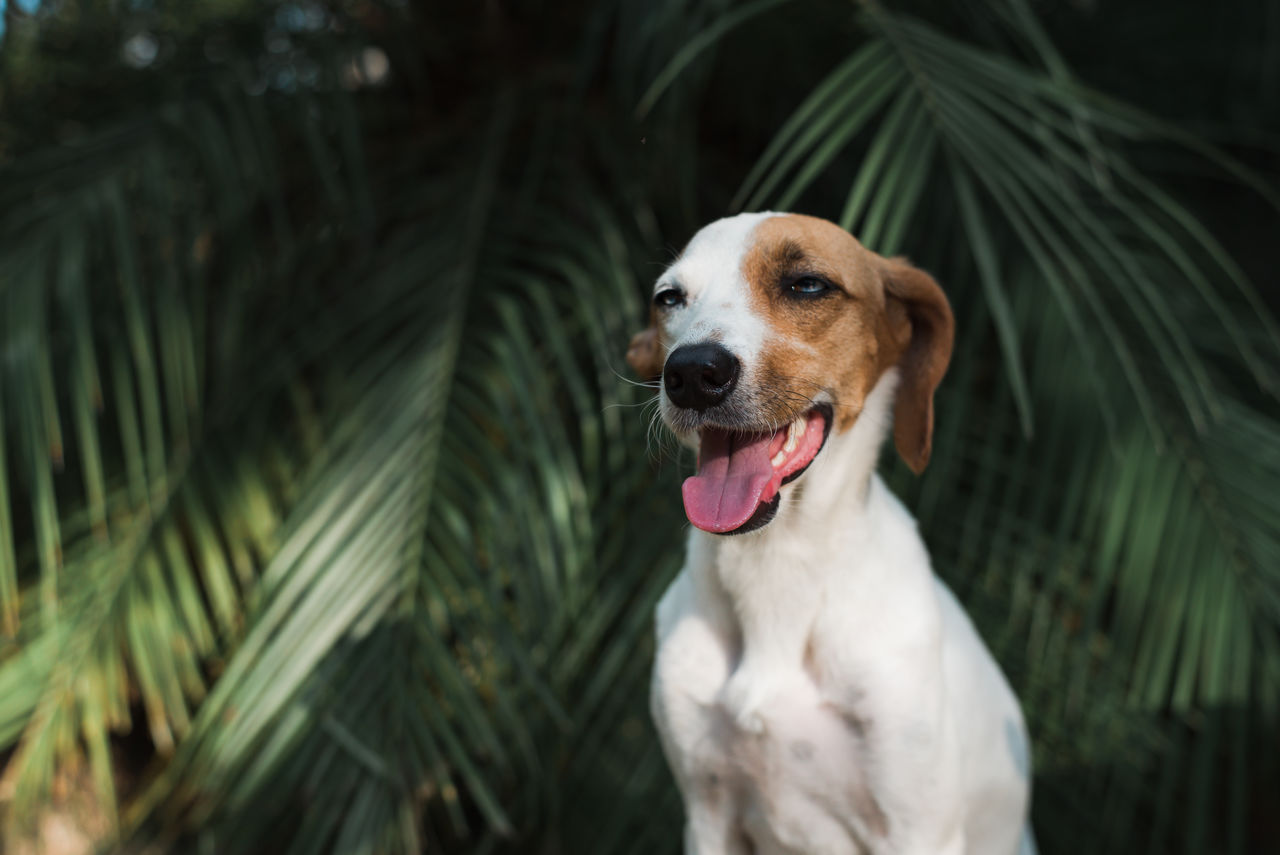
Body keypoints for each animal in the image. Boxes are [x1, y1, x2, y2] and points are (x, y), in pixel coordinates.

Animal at [624, 213, 1034, 855]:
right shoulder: (707, 813)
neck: (776, 569)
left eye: (807, 285)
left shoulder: (920, 828)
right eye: (669, 298)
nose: (691, 372)